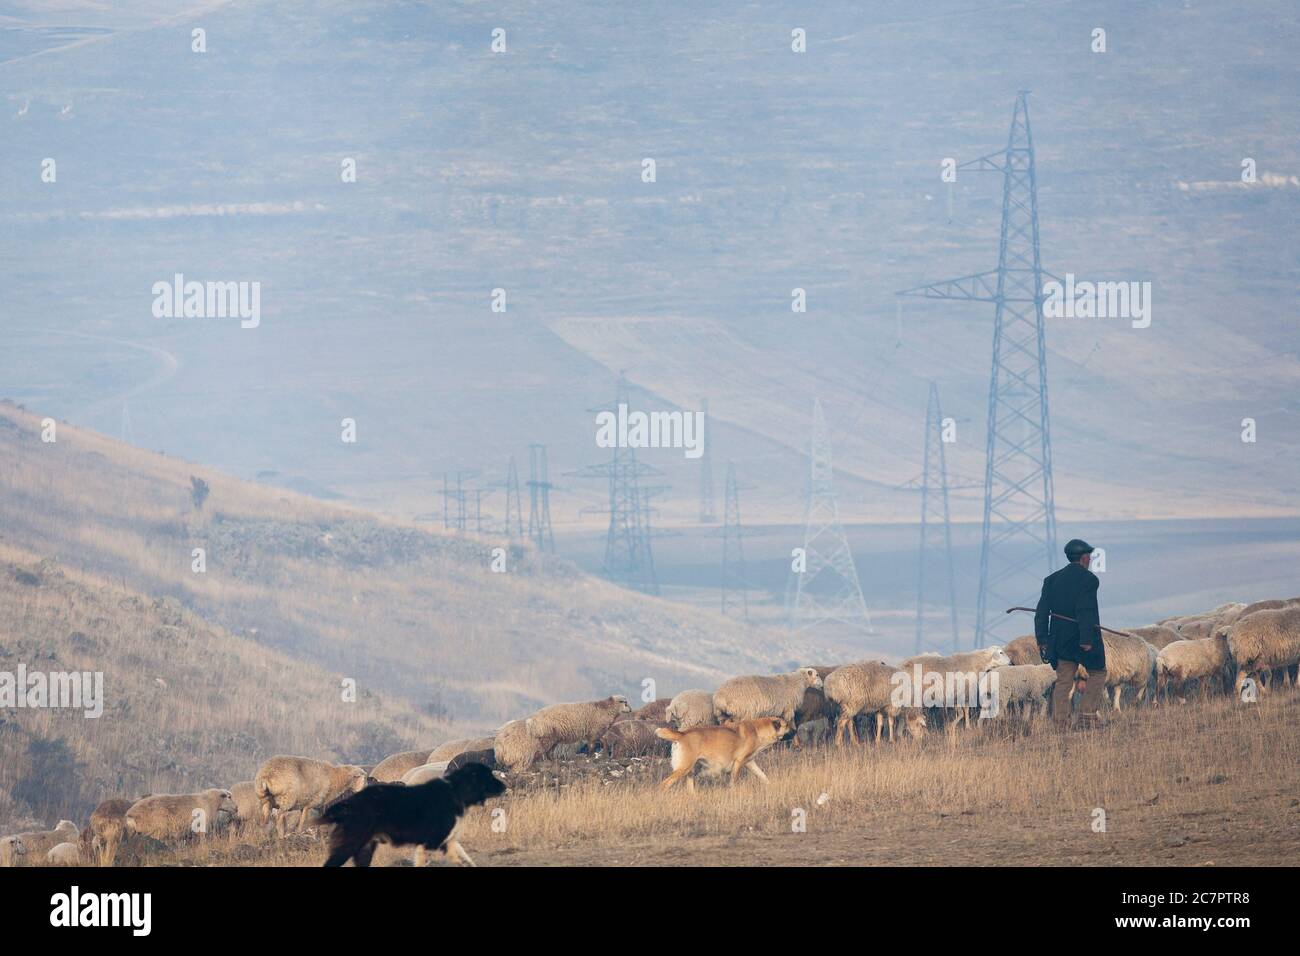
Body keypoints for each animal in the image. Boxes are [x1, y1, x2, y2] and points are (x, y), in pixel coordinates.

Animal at [322, 764, 504, 868]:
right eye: (488, 776)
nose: (504, 786)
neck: (454, 792)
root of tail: (347, 804)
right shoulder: (431, 842)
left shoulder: (447, 840)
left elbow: (464, 858)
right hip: (350, 844)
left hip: (364, 848)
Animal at [650, 717, 790, 790]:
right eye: (787, 725)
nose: (794, 730)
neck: (757, 730)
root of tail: (682, 734)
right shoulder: (739, 762)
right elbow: (733, 780)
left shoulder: (750, 763)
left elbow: (763, 776)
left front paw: (771, 786)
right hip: (683, 769)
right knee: (664, 785)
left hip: (690, 771)